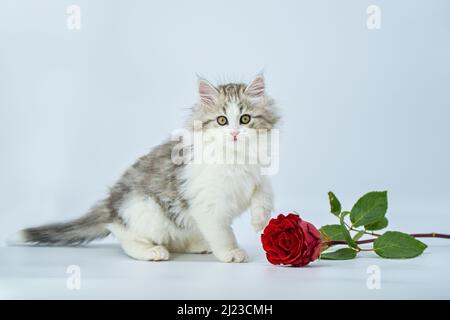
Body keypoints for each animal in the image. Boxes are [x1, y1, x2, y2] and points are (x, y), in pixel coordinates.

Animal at [16, 75, 278, 262]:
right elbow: (223, 233)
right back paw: (152, 251)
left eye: (245, 119)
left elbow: (263, 195)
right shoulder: (208, 205)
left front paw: (259, 220)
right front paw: (230, 253)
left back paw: (197, 245)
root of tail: (110, 204)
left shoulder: (260, 177)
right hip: (146, 209)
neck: (236, 158)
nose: (234, 133)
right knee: (125, 236)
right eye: (221, 121)